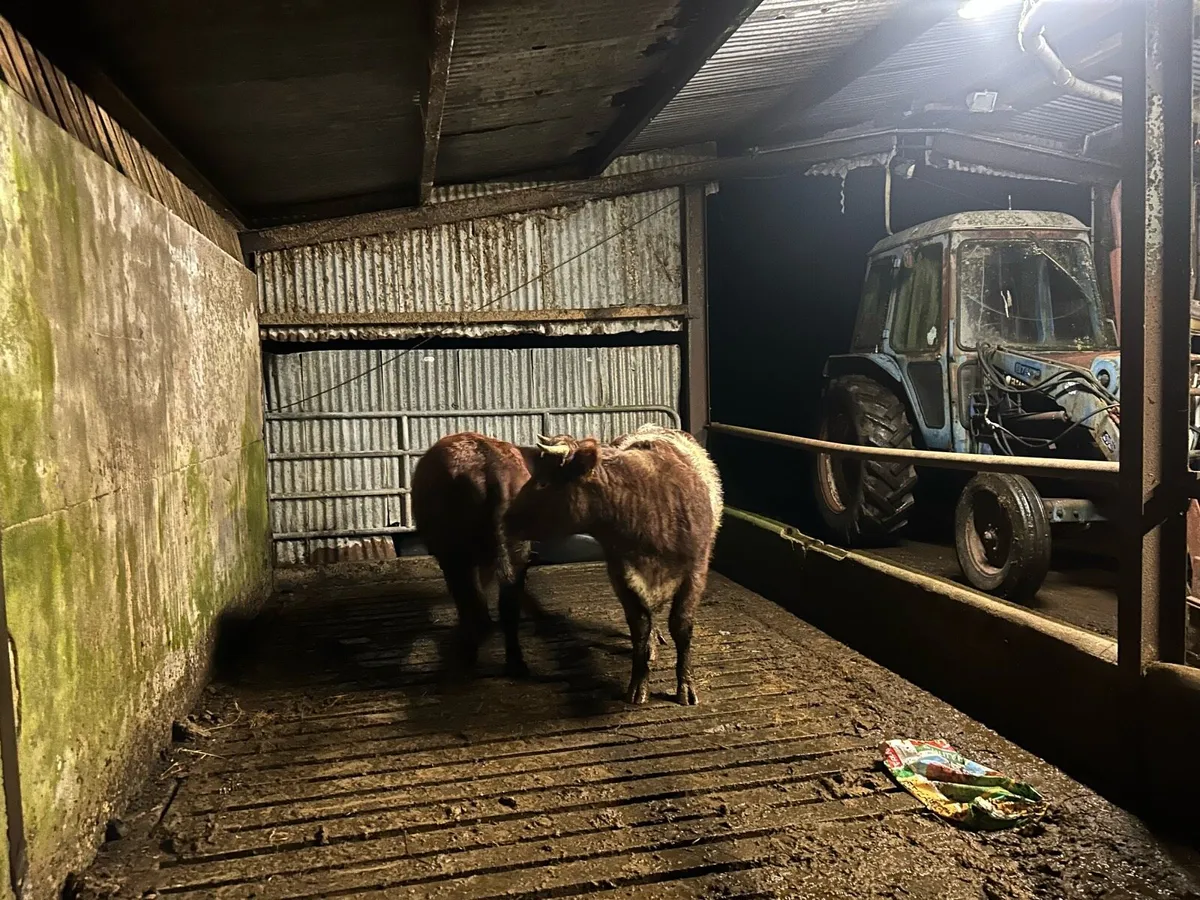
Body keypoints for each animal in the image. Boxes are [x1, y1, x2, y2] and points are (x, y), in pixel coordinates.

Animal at [411, 432, 536, 676]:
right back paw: (516, 665)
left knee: (469, 598)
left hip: (455, 553)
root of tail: (492, 469)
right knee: (509, 603)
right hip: (518, 548)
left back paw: (466, 655)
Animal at [505, 425, 723, 706]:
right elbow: (640, 627)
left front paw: (685, 687)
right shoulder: (622, 574)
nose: (506, 518)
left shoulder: (695, 572)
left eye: (543, 483)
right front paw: (638, 685)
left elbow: (681, 627)